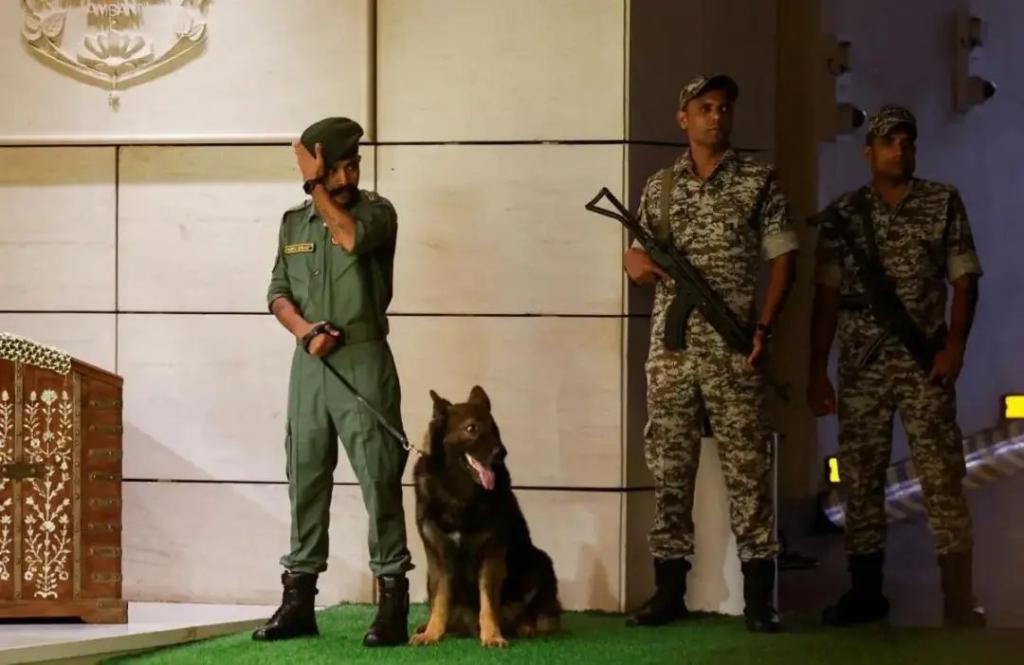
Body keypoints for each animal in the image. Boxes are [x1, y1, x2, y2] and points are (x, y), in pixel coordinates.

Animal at [409, 386, 562, 648]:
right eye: (472, 428)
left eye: (494, 429)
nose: (502, 453)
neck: (459, 492)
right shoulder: (439, 557)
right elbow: (440, 600)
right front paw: (432, 633)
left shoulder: (492, 555)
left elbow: (488, 602)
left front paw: (491, 635)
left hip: (540, 564)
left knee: (528, 612)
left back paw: (524, 627)